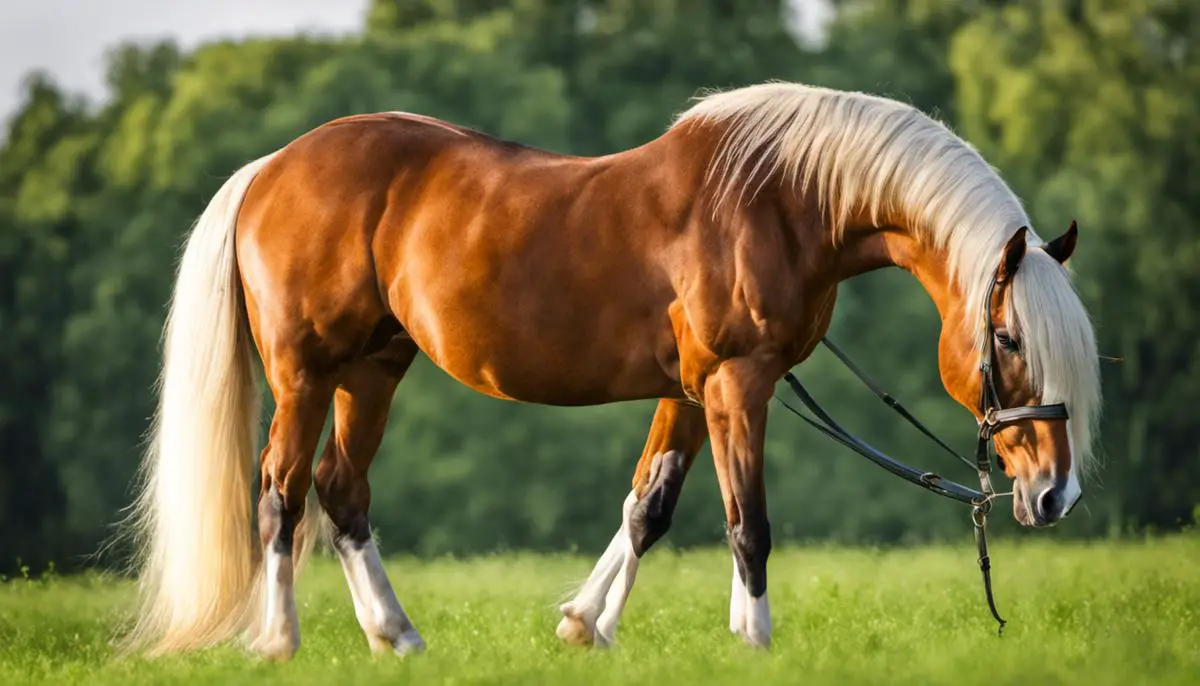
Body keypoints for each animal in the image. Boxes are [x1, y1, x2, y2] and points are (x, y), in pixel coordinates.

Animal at [119, 80, 1099, 657]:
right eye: (1010, 340)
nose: (1056, 494)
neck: (781, 200)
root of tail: (271, 170)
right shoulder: (738, 384)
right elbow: (748, 524)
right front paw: (754, 642)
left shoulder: (693, 392)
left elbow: (647, 508)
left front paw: (585, 624)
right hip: (306, 373)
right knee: (281, 491)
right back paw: (278, 643)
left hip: (374, 369)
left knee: (340, 490)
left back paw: (396, 637)